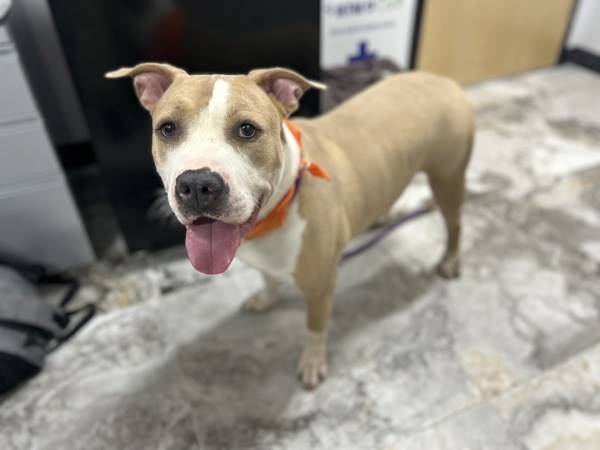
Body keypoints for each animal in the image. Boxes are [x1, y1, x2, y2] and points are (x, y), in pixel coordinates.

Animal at [106, 61, 474, 388]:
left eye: (247, 129)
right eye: (167, 128)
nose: (197, 184)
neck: (278, 209)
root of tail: (442, 80)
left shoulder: (321, 285)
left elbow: (314, 328)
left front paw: (312, 363)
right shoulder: (265, 261)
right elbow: (269, 277)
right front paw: (266, 297)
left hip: (448, 179)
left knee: (455, 225)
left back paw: (450, 261)